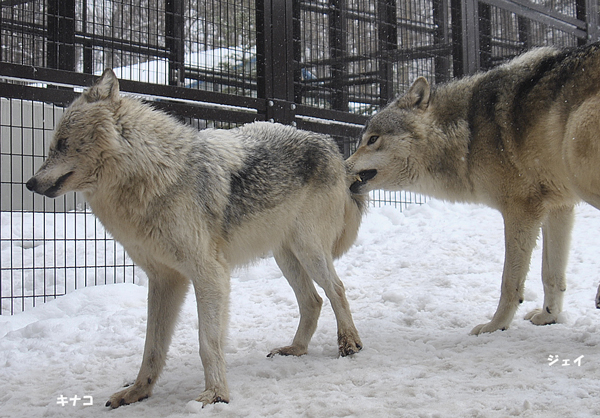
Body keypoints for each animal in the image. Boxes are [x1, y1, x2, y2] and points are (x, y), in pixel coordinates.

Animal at [27, 69, 366, 408]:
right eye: (53, 145)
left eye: (62, 143)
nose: (30, 183)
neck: (155, 176)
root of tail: (329, 143)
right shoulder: (164, 279)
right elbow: (152, 347)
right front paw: (138, 391)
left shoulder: (209, 273)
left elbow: (207, 343)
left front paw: (216, 394)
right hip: (285, 257)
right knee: (313, 300)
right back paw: (295, 350)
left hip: (309, 251)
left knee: (336, 289)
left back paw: (349, 343)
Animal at [344, 41, 600, 336]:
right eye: (361, 141)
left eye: (373, 140)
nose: (343, 167)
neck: (469, 133)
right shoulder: (559, 207)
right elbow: (552, 274)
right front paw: (549, 316)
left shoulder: (521, 209)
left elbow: (509, 281)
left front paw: (495, 326)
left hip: (578, 159)